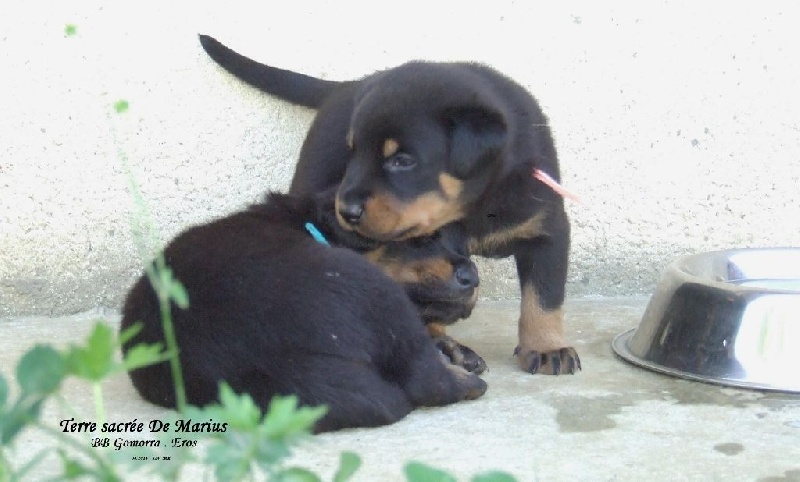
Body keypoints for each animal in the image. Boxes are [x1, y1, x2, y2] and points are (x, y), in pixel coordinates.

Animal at [197, 37, 580, 376]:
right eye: (354, 153)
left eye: (402, 161)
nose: (346, 210)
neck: (471, 209)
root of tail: (347, 85)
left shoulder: (547, 225)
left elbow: (544, 295)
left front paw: (547, 347)